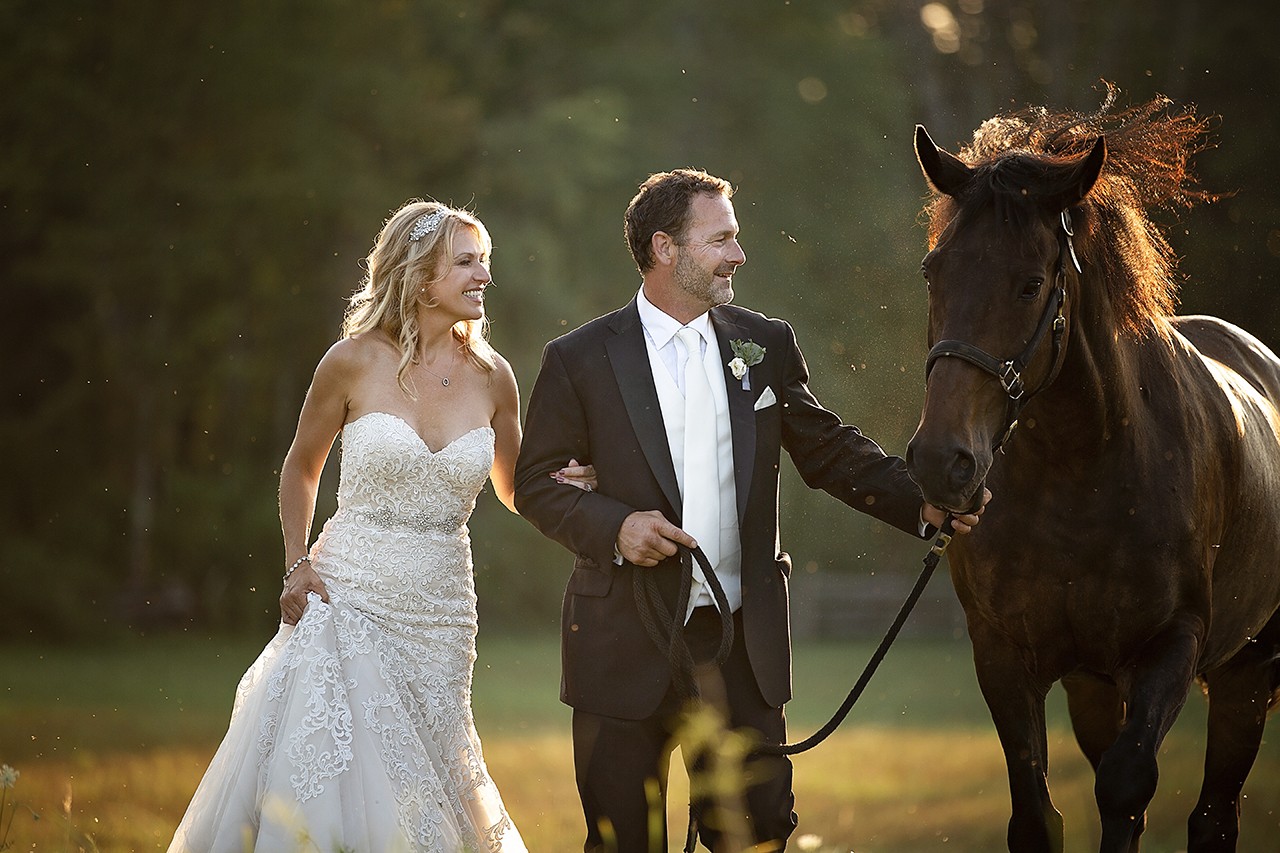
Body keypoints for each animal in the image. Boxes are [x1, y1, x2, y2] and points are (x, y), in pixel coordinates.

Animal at [911, 94, 1280, 850]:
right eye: (934, 272)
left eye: (1031, 284)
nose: (942, 462)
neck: (1078, 474)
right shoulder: (1004, 654)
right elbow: (1037, 814)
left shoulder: (1170, 649)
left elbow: (1124, 787)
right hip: (1095, 684)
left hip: (1245, 672)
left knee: (1213, 817)